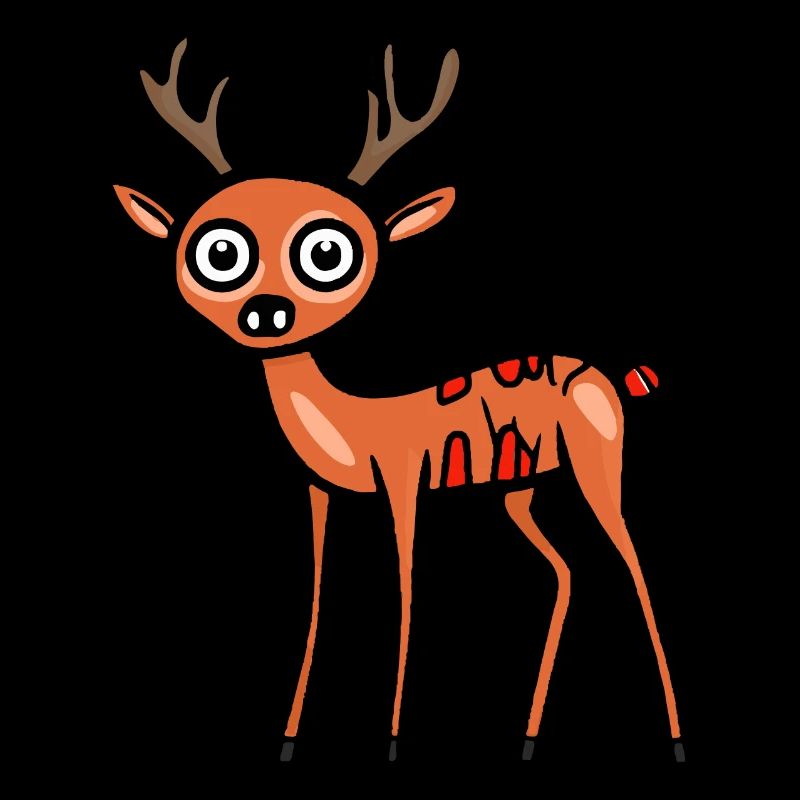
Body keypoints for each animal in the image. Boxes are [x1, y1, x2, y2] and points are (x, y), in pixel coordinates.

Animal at [113, 39, 684, 763]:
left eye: (328, 253)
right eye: (219, 252)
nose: (266, 313)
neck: (351, 422)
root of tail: (607, 374)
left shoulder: (405, 483)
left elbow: (408, 589)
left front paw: (390, 739)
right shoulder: (320, 492)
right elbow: (318, 597)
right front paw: (290, 738)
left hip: (596, 467)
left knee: (633, 567)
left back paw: (674, 739)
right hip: (519, 492)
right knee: (567, 573)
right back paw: (527, 738)